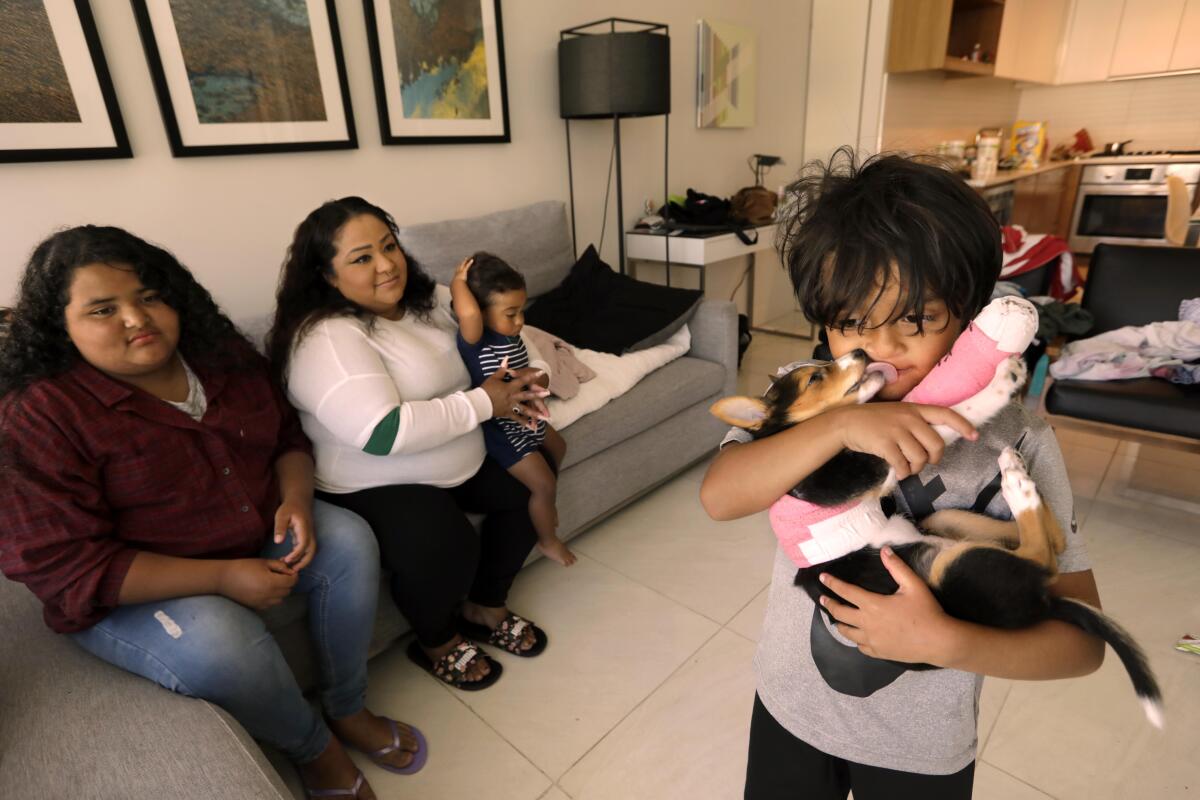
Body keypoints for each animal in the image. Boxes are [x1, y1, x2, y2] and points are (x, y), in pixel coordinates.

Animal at [710, 347, 1161, 724]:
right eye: (815, 378)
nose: (860, 351)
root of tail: (1045, 604)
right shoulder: (877, 462)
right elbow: (947, 413)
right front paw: (1002, 381)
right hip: (954, 565)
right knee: (1042, 556)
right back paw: (1017, 482)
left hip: (947, 524)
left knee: (1053, 542)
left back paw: (1021, 474)